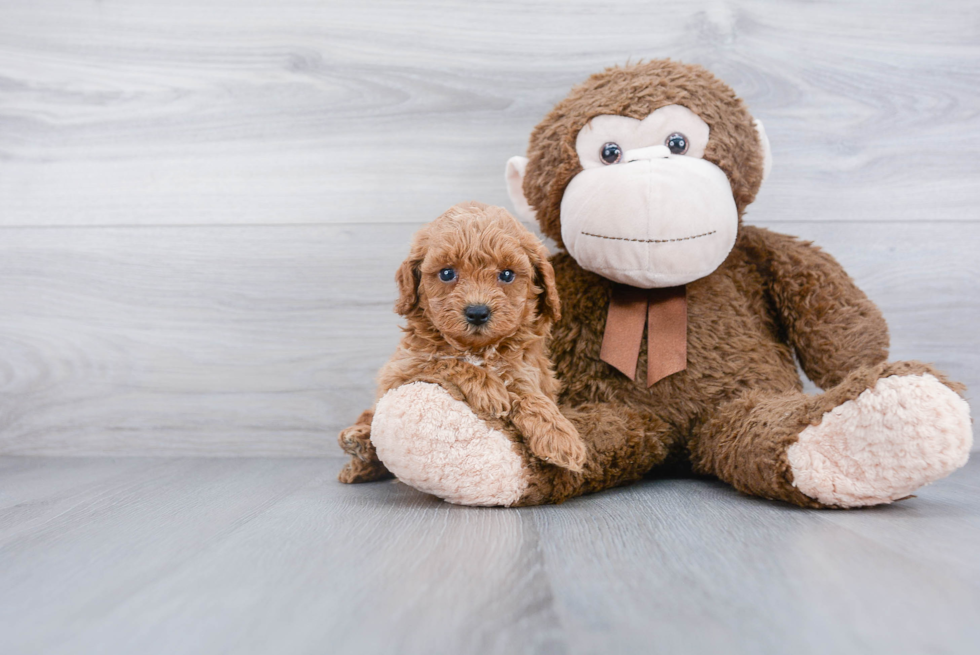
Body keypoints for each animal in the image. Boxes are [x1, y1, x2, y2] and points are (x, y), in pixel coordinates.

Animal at [338, 200, 580, 482]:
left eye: (507, 275)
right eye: (446, 273)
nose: (477, 312)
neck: (476, 349)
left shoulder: (526, 370)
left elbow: (530, 394)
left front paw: (559, 436)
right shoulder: (403, 370)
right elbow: (446, 362)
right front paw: (487, 387)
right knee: (369, 419)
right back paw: (358, 445)